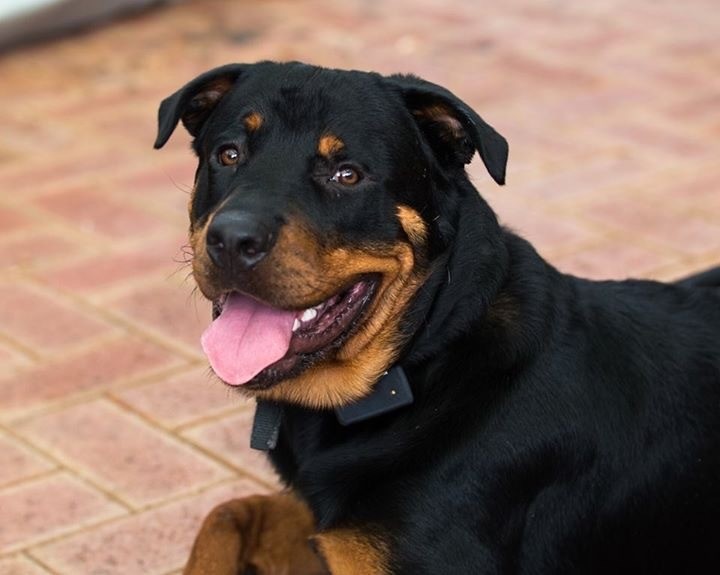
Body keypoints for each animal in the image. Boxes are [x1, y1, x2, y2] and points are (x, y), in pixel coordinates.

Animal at [154, 61, 720, 574]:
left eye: (346, 174)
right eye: (228, 154)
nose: (232, 239)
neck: (419, 364)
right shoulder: (331, 528)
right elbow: (225, 513)